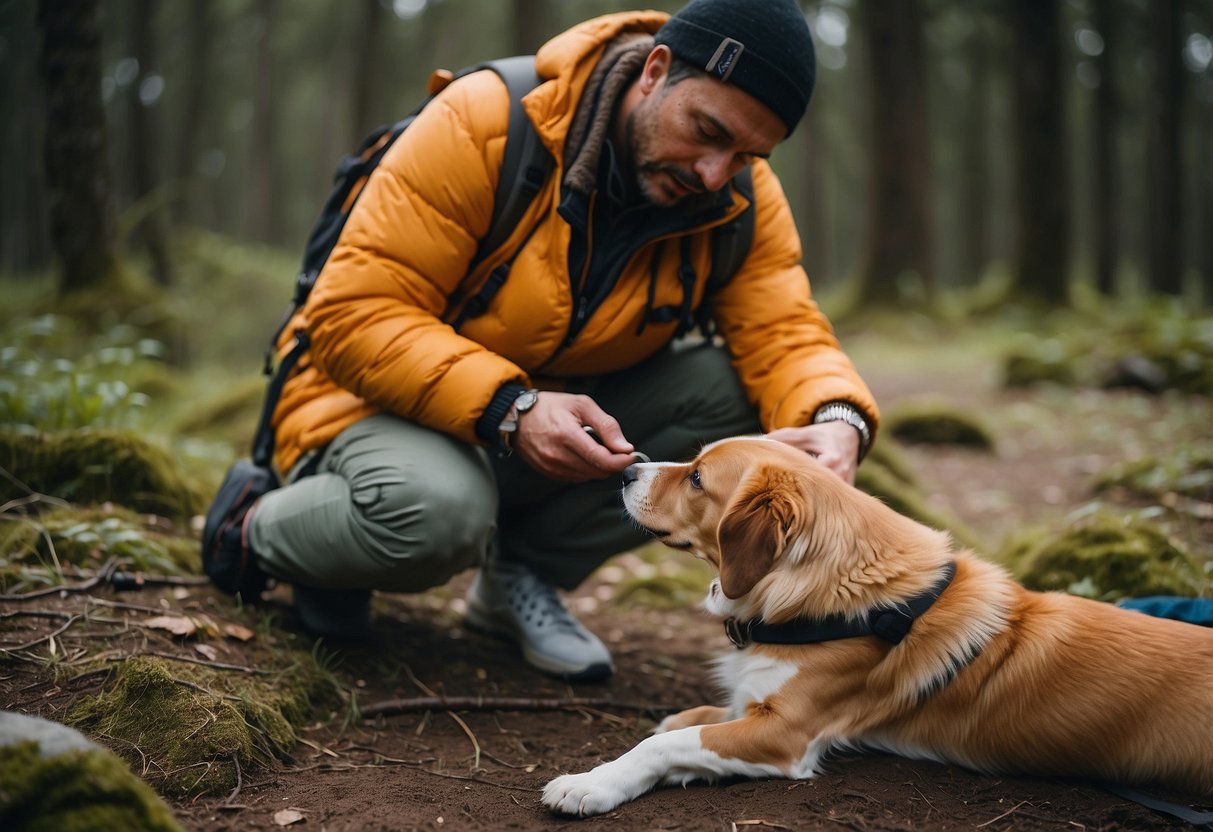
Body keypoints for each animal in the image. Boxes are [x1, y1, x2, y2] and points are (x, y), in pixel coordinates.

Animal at [543, 439, 1213, 819]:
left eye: (698, 478)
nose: (626, 470)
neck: (819, 589)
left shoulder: (786, 734)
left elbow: (664, 743)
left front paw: (590, 785)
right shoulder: (756, 707)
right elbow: (686, 724)